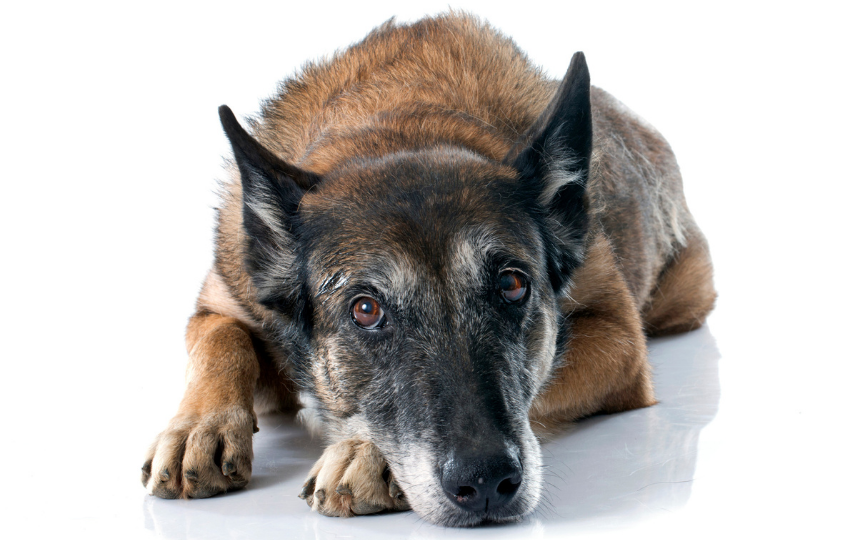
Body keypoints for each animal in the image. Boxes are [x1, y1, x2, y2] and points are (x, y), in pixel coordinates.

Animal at [143, 13, 720, 528]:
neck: (400, 124)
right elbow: (220, 341)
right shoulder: (222, 301)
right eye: (365, 309)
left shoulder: (619, 339)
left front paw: (367, 452)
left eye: (513, 284)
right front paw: (199, 428)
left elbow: (544, 382)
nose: (486, 483)